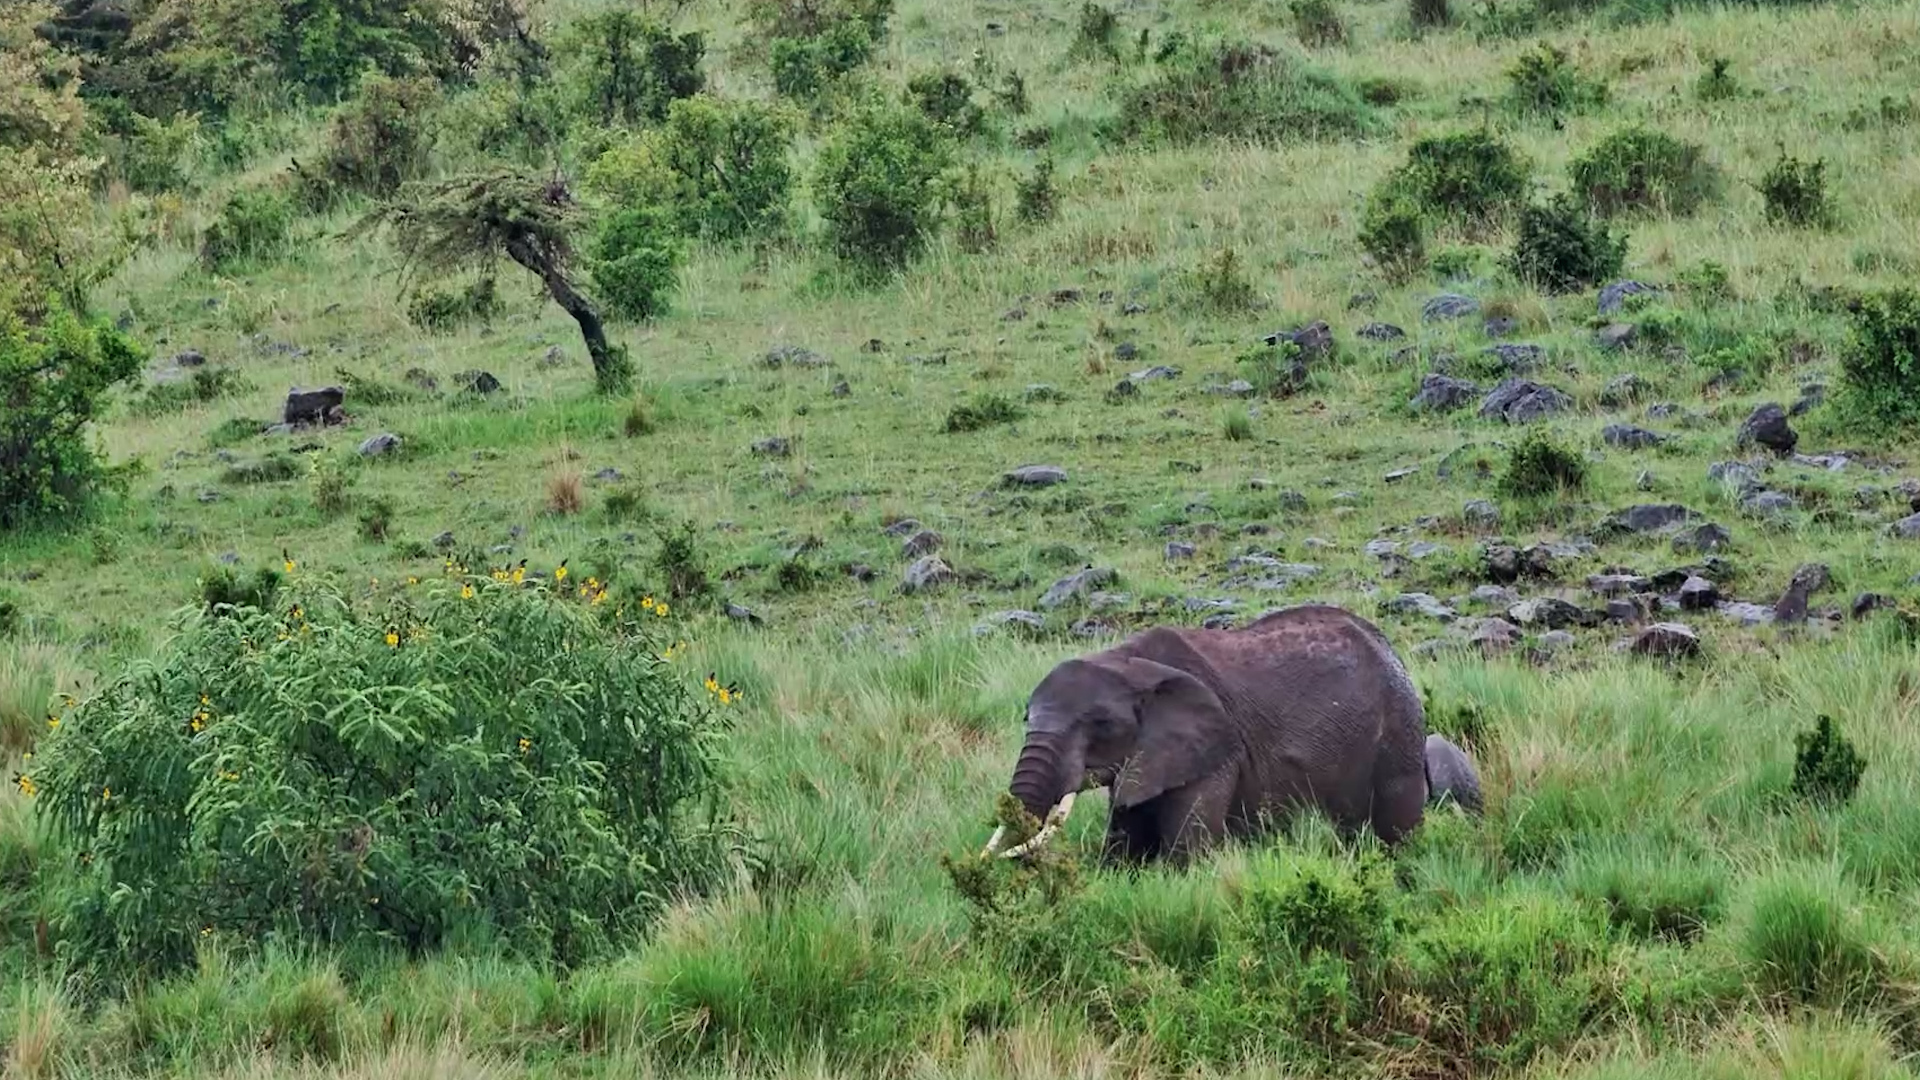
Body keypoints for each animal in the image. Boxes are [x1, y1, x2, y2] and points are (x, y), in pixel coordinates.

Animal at [980, 604, 1481, 865]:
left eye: (1099, 726)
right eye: (1026, 718)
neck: (1125, 660)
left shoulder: (1216, 752)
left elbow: (1189, 853)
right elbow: (1124, 846)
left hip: (1398, 733)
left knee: (1397, 832)